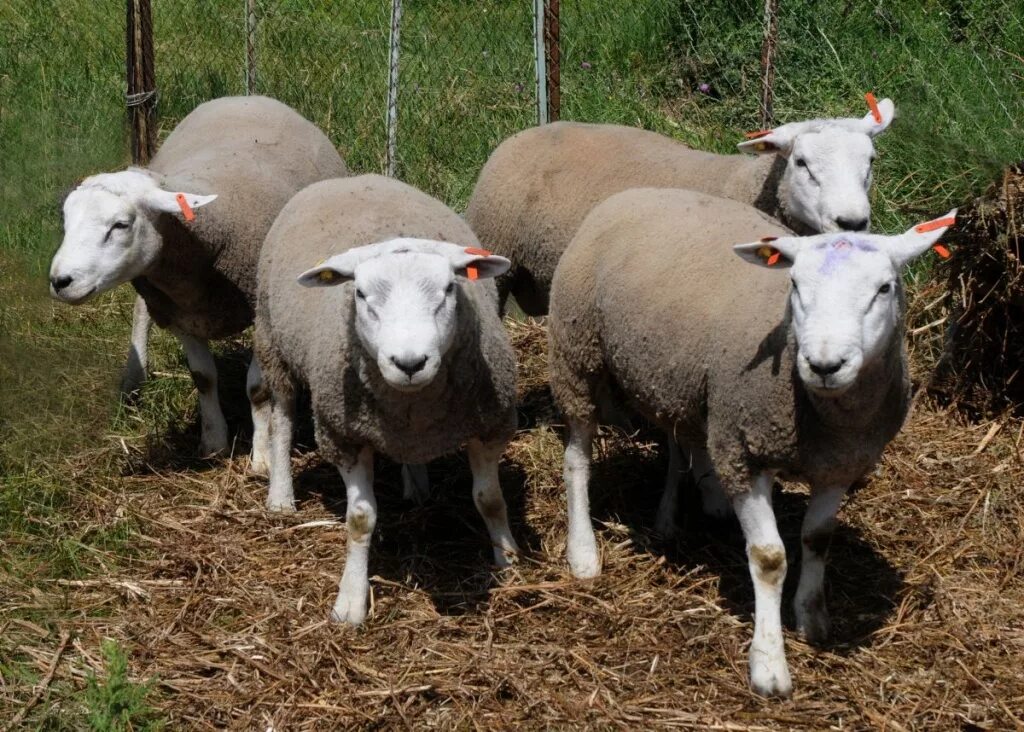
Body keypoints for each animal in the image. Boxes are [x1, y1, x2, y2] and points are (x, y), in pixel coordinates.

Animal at [49, 95, 348, 468]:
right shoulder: (178, 314)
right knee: (141, 312)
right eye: (66, 221)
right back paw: (133, 381)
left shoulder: (259, 313)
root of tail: (245, 97)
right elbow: (203, 378)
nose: (60, 281)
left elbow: (257, 388)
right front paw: (214, 442)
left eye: (120, 224)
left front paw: (262, 456)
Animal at [252, 175, 524, 626]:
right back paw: (280, 496)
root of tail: (351, 178)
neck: (413, 403)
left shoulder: (490, 424)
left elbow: (490, 499)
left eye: (449, 289)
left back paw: (415, 484)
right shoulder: (343, 436)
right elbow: (360, 520)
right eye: (361, 294)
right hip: (274, 344)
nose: (410, 362)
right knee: (283, 418)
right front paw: (350, 600)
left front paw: (509, 561)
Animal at [468, 96, 892, 315]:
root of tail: (526, 133)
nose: (853, 222)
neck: (745, 182)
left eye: (871, 160)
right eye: (801, 163)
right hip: (497, 245)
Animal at [548, 186, 954, 696]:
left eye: (884, 288)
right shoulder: (744, 452)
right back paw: (583, 553)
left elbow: (817, 539)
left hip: (675, 377)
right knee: (577, 459)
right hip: (576, 351)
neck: (822, 414)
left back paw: (675, 513)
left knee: (680, 438)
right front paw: (769, 665)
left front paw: (811, 618)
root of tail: (635, 192)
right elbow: (768, 557)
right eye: (794, 285)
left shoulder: (840, 462)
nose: (824, 365)